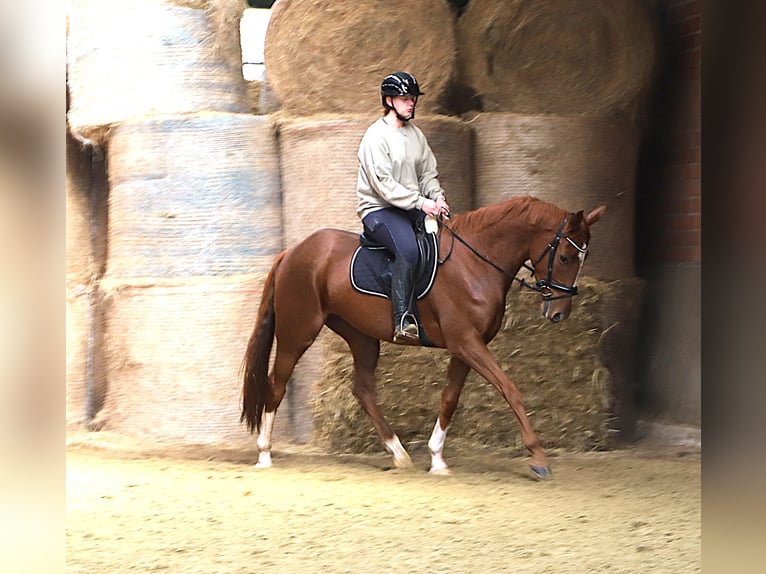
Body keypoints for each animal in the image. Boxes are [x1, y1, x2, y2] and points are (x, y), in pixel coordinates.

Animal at [242, 195, 605, 479]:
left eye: (583, 257)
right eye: (564, 257)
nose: (559, 313)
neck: (475, 263)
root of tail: (291, 253)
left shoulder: (466, 347)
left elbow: (449, 398)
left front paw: (437, 458)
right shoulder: (467, 343)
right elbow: (510, 390)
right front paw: (538, 459)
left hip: (361, 337)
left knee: (363, 390)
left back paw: (399, 454)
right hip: (298, 332)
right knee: (276, 383)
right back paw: (264, 453)